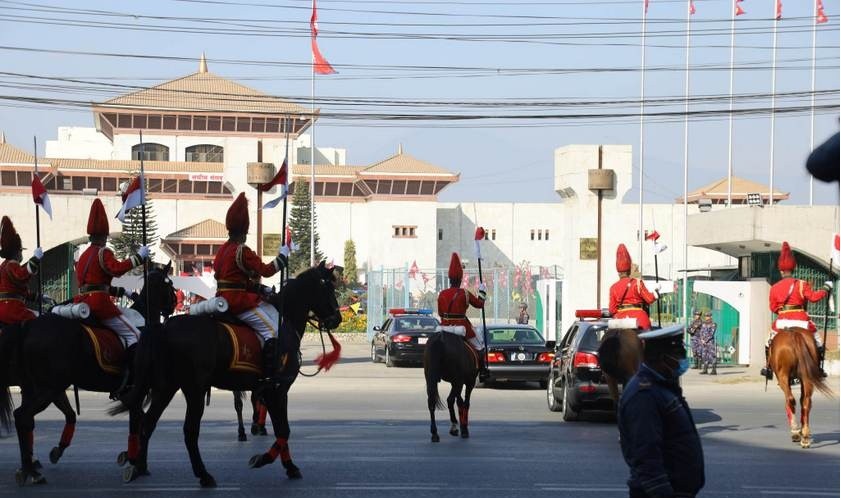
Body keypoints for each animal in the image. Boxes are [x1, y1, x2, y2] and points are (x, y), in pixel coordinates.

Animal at [0, 264, 175, 486]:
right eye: (170, 285)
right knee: (23, 416)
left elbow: (138, 421)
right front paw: (135, 463)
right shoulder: (136, 392)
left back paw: (29, 468)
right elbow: (138, 424)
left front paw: (133, 458)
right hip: (47, 389)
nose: (174, 304)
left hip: (44, 387)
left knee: (26, 419)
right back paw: (31, 470)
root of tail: (28, 327)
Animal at [110, 262, 342, 488]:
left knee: (148, 423)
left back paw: (139, 467)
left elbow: (280, 429)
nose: (337, 319)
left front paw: (289, 466)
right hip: (194, 390)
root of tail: (165, 327)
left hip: (165, 387)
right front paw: (264, 459)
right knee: (189, 430)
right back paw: (203, 475)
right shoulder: (278, 389)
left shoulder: (271, 391)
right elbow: (283, 430)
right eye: (329, 288)